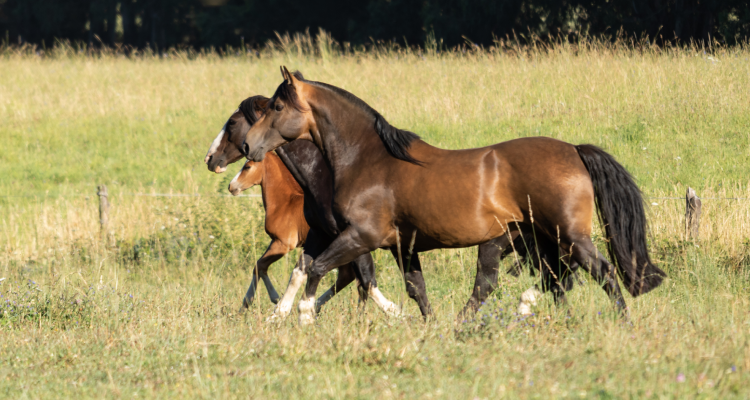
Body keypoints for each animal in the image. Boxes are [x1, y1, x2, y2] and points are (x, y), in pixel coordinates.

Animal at [242, 68, 668, 324]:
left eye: (276, 106)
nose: (248, 145)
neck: (369, 159)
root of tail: (574, 151)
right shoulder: (403, 246)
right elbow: (416, 289)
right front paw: (428, 327)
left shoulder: (361, 236)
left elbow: (316, 268)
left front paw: (304, 315)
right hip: (536, 238)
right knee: (551, 281)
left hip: (567, 235)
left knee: (600, 273)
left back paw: (622, 323)